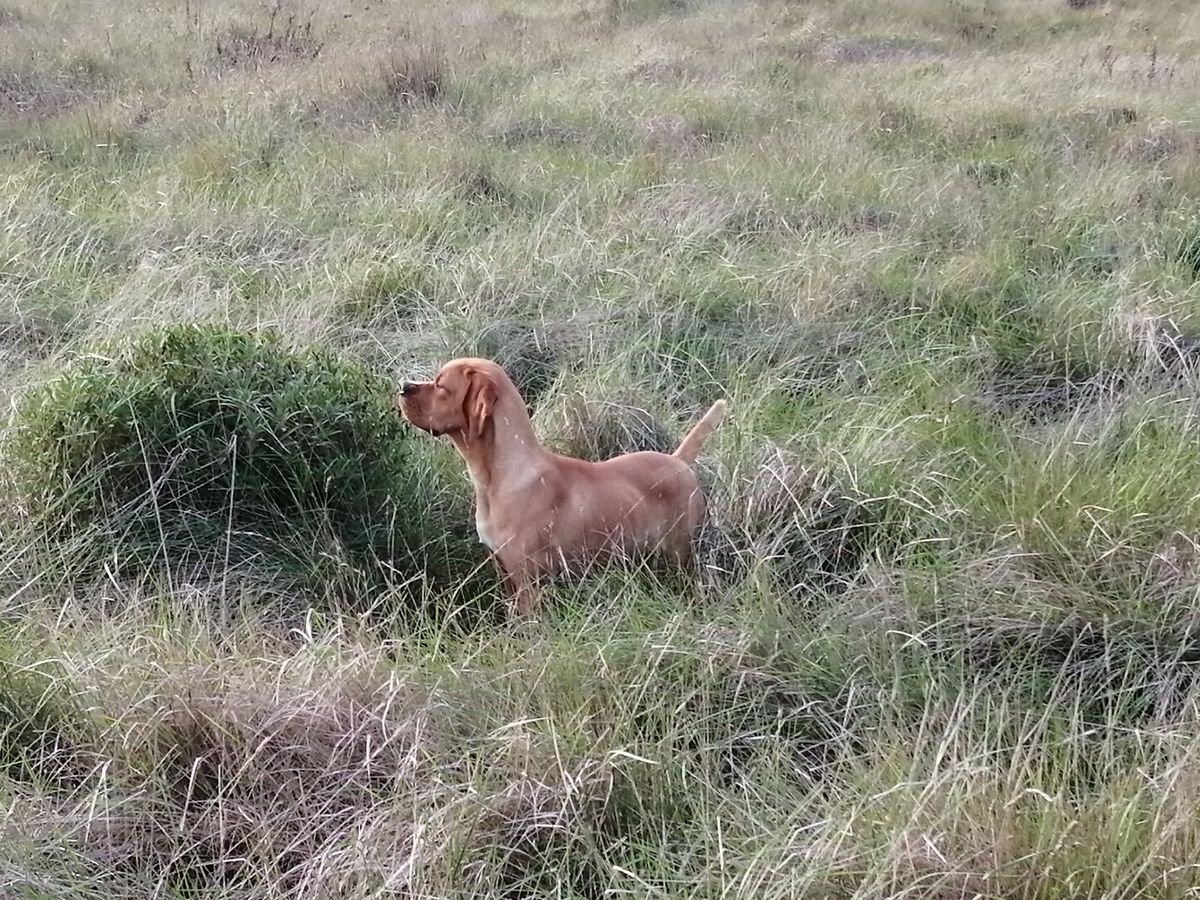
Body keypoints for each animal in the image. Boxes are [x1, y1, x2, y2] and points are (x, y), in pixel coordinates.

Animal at [398, 355, 724, 619]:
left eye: (441, 386)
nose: (402, 385)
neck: (499, 476)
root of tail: (678, 460)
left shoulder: (528, 581)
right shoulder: (505, 573)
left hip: (681, 554)